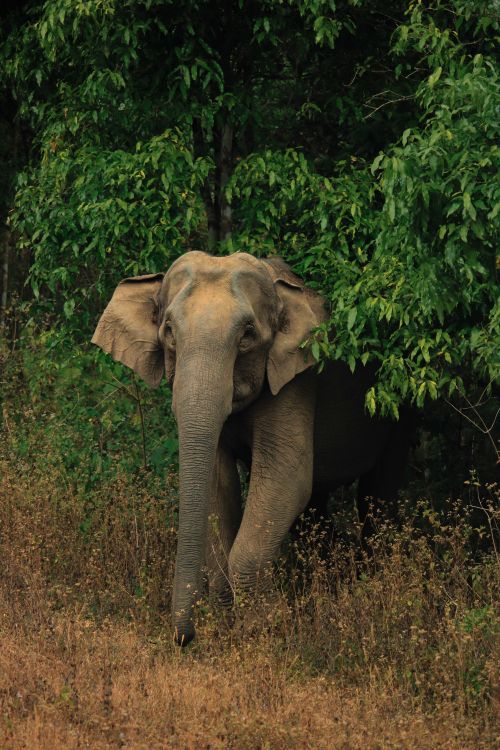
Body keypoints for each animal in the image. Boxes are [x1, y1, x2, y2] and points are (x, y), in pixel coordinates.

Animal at [92, 251, 412, 645]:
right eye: (168, 331)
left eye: (247, 335)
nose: (185, 639)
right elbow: (219, 483)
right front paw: (228, 619)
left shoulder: (294, 380)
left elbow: (286, 477)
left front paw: (267, 625)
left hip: (402, 412)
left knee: (377, 493)